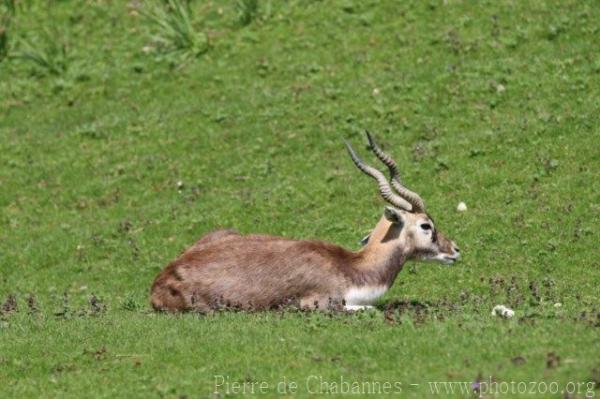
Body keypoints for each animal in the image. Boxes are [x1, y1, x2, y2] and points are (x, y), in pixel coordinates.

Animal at [150, 133, 460, 314]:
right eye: (426, 225)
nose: (455, 250)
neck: (352, 268)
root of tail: (161, 280)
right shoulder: (317, 304)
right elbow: (368, 310)